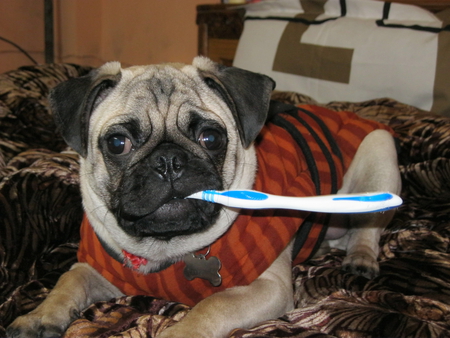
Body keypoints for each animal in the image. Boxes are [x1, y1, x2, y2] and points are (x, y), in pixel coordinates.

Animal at [7, 57, 400, 338]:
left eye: (211, 138)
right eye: (118, 143)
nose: (168, 161)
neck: (169, 249)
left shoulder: (267, 288)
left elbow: (212, 305)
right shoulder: (100, 269)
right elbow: (67, 281)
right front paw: (39, 316)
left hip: (379, 154)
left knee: (369, 227)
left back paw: (360, 258)